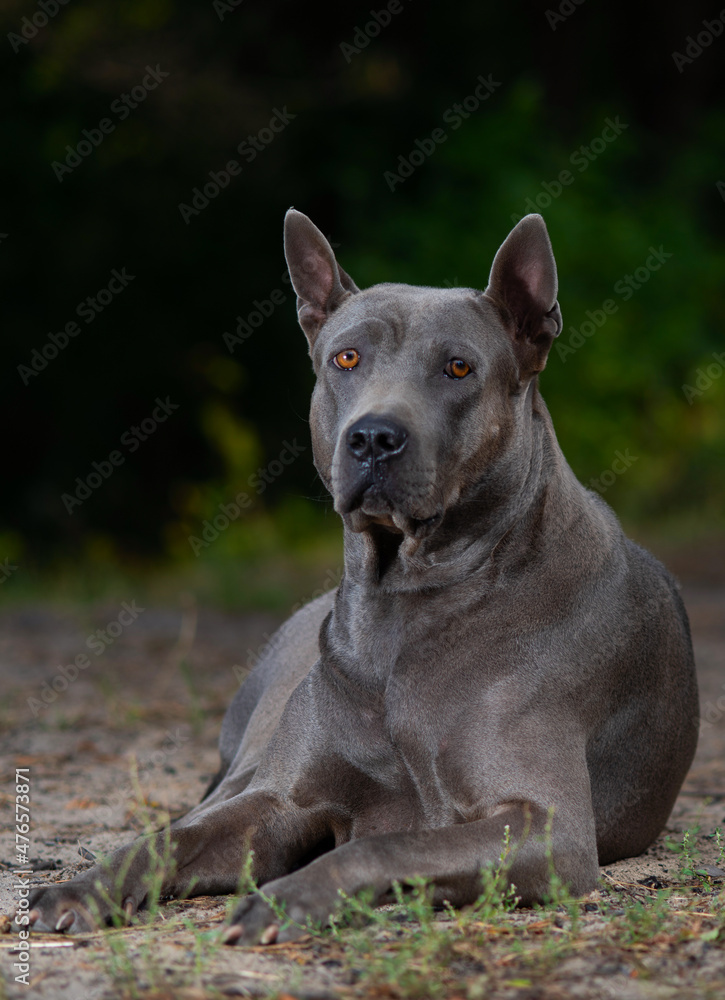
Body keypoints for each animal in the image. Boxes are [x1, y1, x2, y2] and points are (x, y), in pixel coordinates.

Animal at [28, 211, 696, 944]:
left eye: (458, 367)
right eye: (345, 359)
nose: (374, 436)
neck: (403, 599)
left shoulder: (545, 826)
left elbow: (383, 844)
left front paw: (287, 898)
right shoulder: (280, 799)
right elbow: (169, 840)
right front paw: (82, 888)